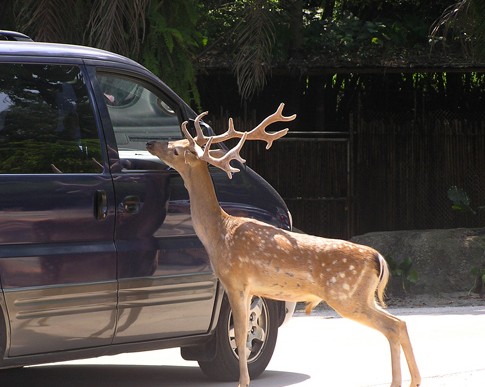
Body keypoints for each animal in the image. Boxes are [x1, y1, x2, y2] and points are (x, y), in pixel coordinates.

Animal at [147, 104, 420, 387]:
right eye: (176, 141)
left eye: (176, 150)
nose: (150, 143)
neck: (218, 232)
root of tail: (378, 258)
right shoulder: (250, 288)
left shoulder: (235, 281)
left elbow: (241, 334)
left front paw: (242, 381)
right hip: (363, 296)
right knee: (399, 323)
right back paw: (413, 380)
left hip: (346, 295)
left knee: (393, 326)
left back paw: (400, 381)